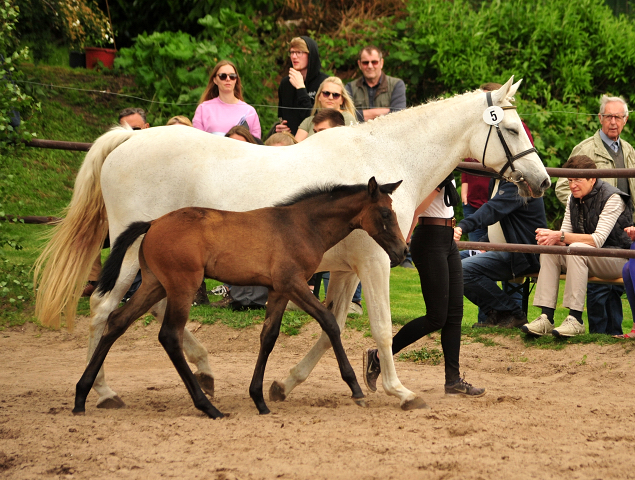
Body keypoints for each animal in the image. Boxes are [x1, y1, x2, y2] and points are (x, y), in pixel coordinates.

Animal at [73, 178, 402, 418]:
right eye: (386, 214)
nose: (401, 253)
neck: (301, 225)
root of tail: (152, 222)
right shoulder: (293, 283)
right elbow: (329, 322)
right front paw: (356, 388)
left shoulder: (278, 290)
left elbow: (268, 337)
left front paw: (259, 398)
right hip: (182, 286)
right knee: (169, 335)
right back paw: (208, 406)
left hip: (154, 284)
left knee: (117, 321)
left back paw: (82, 395)